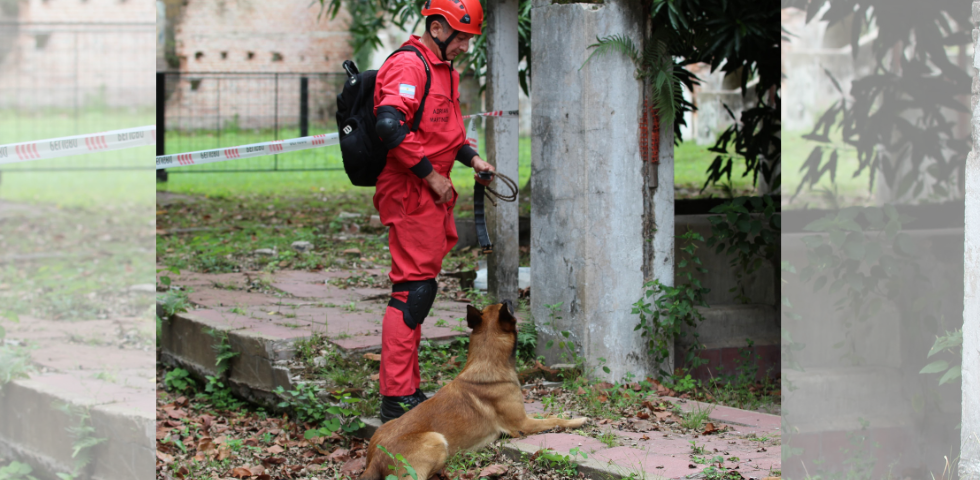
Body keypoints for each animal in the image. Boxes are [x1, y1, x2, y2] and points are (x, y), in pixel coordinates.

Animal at [360, 298, 588, 478]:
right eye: (509, 308)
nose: (509, 298)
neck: (487, 362)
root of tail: (375, 459)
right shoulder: (522, 423)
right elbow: (553, 420)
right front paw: (577, 420)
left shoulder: (524, 417)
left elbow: (549, 414)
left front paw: (567, 413)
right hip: (436, 440)